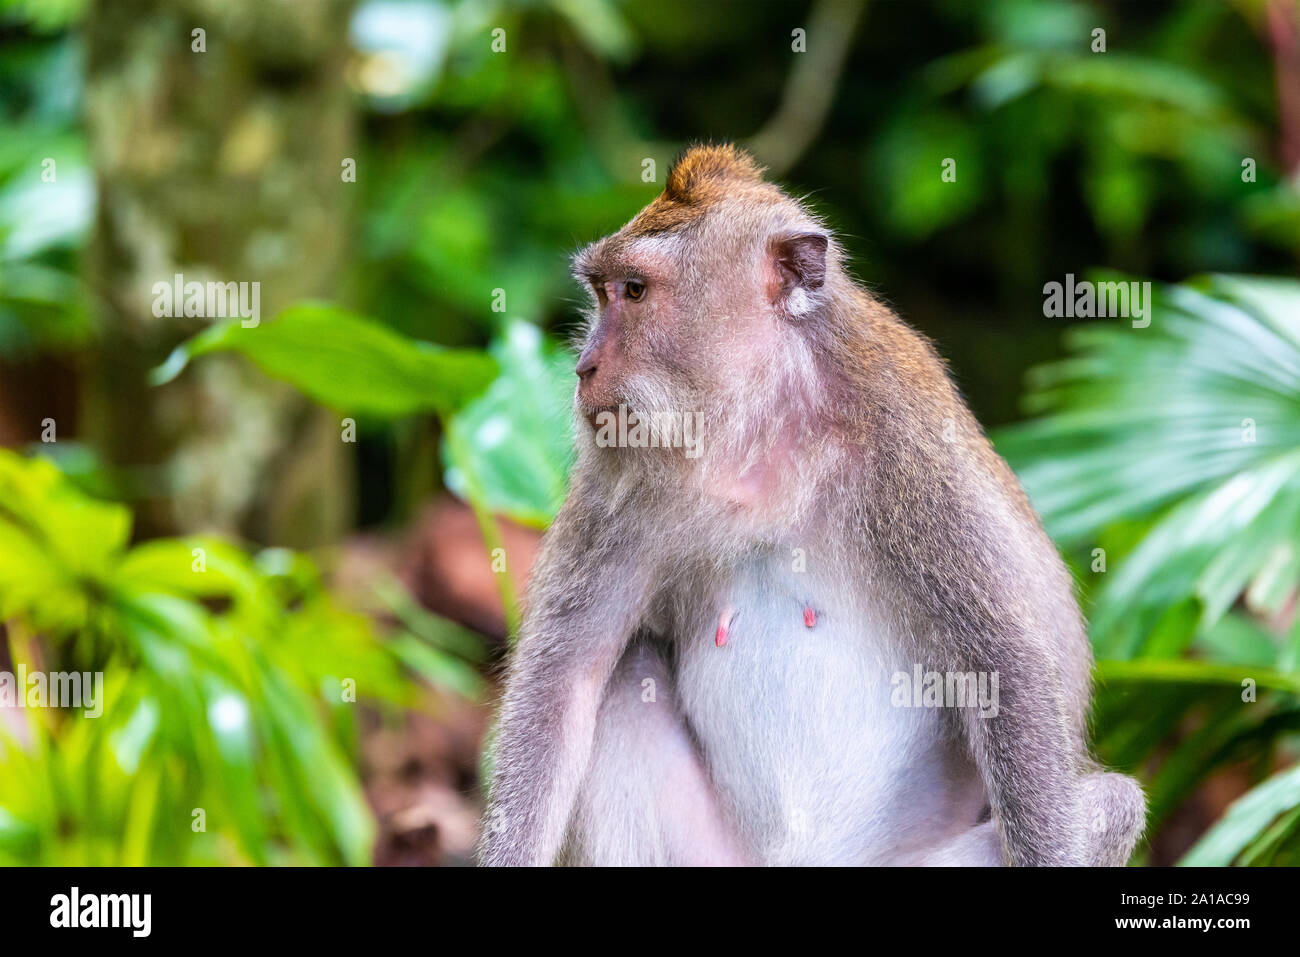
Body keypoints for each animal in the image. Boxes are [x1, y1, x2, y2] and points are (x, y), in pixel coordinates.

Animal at [478, 144, 1145, 867]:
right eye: (602, 293)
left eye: (634, 292)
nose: (584, 367)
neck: (762, 425)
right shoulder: (618, 480)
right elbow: (564, 683)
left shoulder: (914, 461)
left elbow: (1007, 669)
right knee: (627, 674)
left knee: (1112, 804)